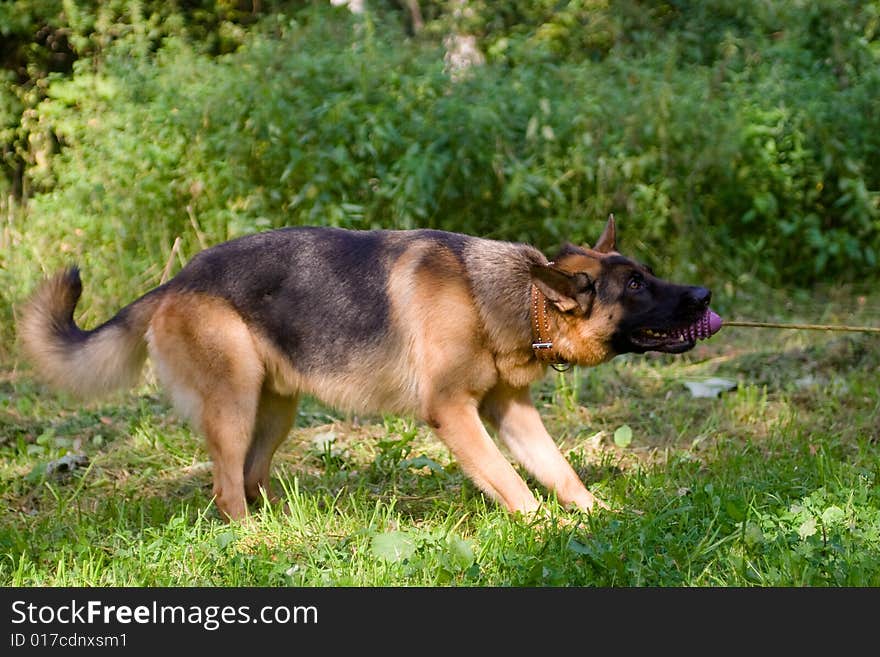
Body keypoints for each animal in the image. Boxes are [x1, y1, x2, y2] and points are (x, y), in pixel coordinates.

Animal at [18, 218, 720, 520]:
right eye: (636, 285)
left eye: (647, 272)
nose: (706, 295)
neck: (510, 296)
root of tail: (173, 283)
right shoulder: (455, 416)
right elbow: (508, 481)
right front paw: (544, 527)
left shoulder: (512, 413)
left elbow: (560, 471)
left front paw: (599, 514)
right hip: (236, 402)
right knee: (225, 489)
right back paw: (253, 544)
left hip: (275, 410)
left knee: (250, 477)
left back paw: (292, 529)